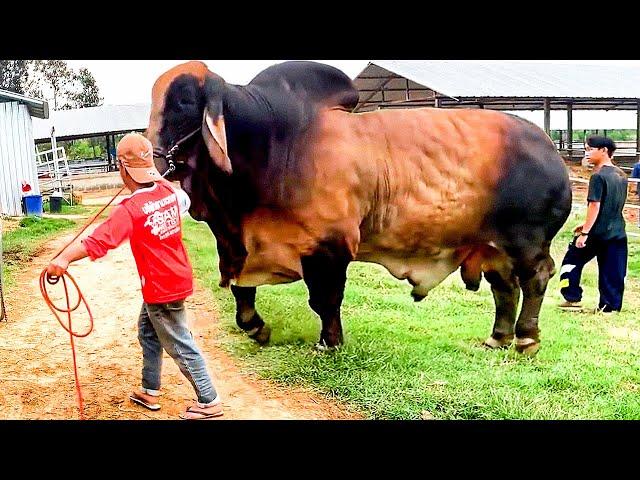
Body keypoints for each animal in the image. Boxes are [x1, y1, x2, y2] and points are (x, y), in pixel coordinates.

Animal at [148, 60, 572, 354]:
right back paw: (498, 338)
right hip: (492, 248)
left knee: (535, 278)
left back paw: (526, 340)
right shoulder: (241, 249)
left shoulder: (328, 247)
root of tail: (548, 146)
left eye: (184, 102)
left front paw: (329, 343)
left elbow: (324, 300)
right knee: (504, 287)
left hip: (526, 243)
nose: (152, 158)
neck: (274, 147)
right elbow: (242, 295)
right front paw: (257, 327)